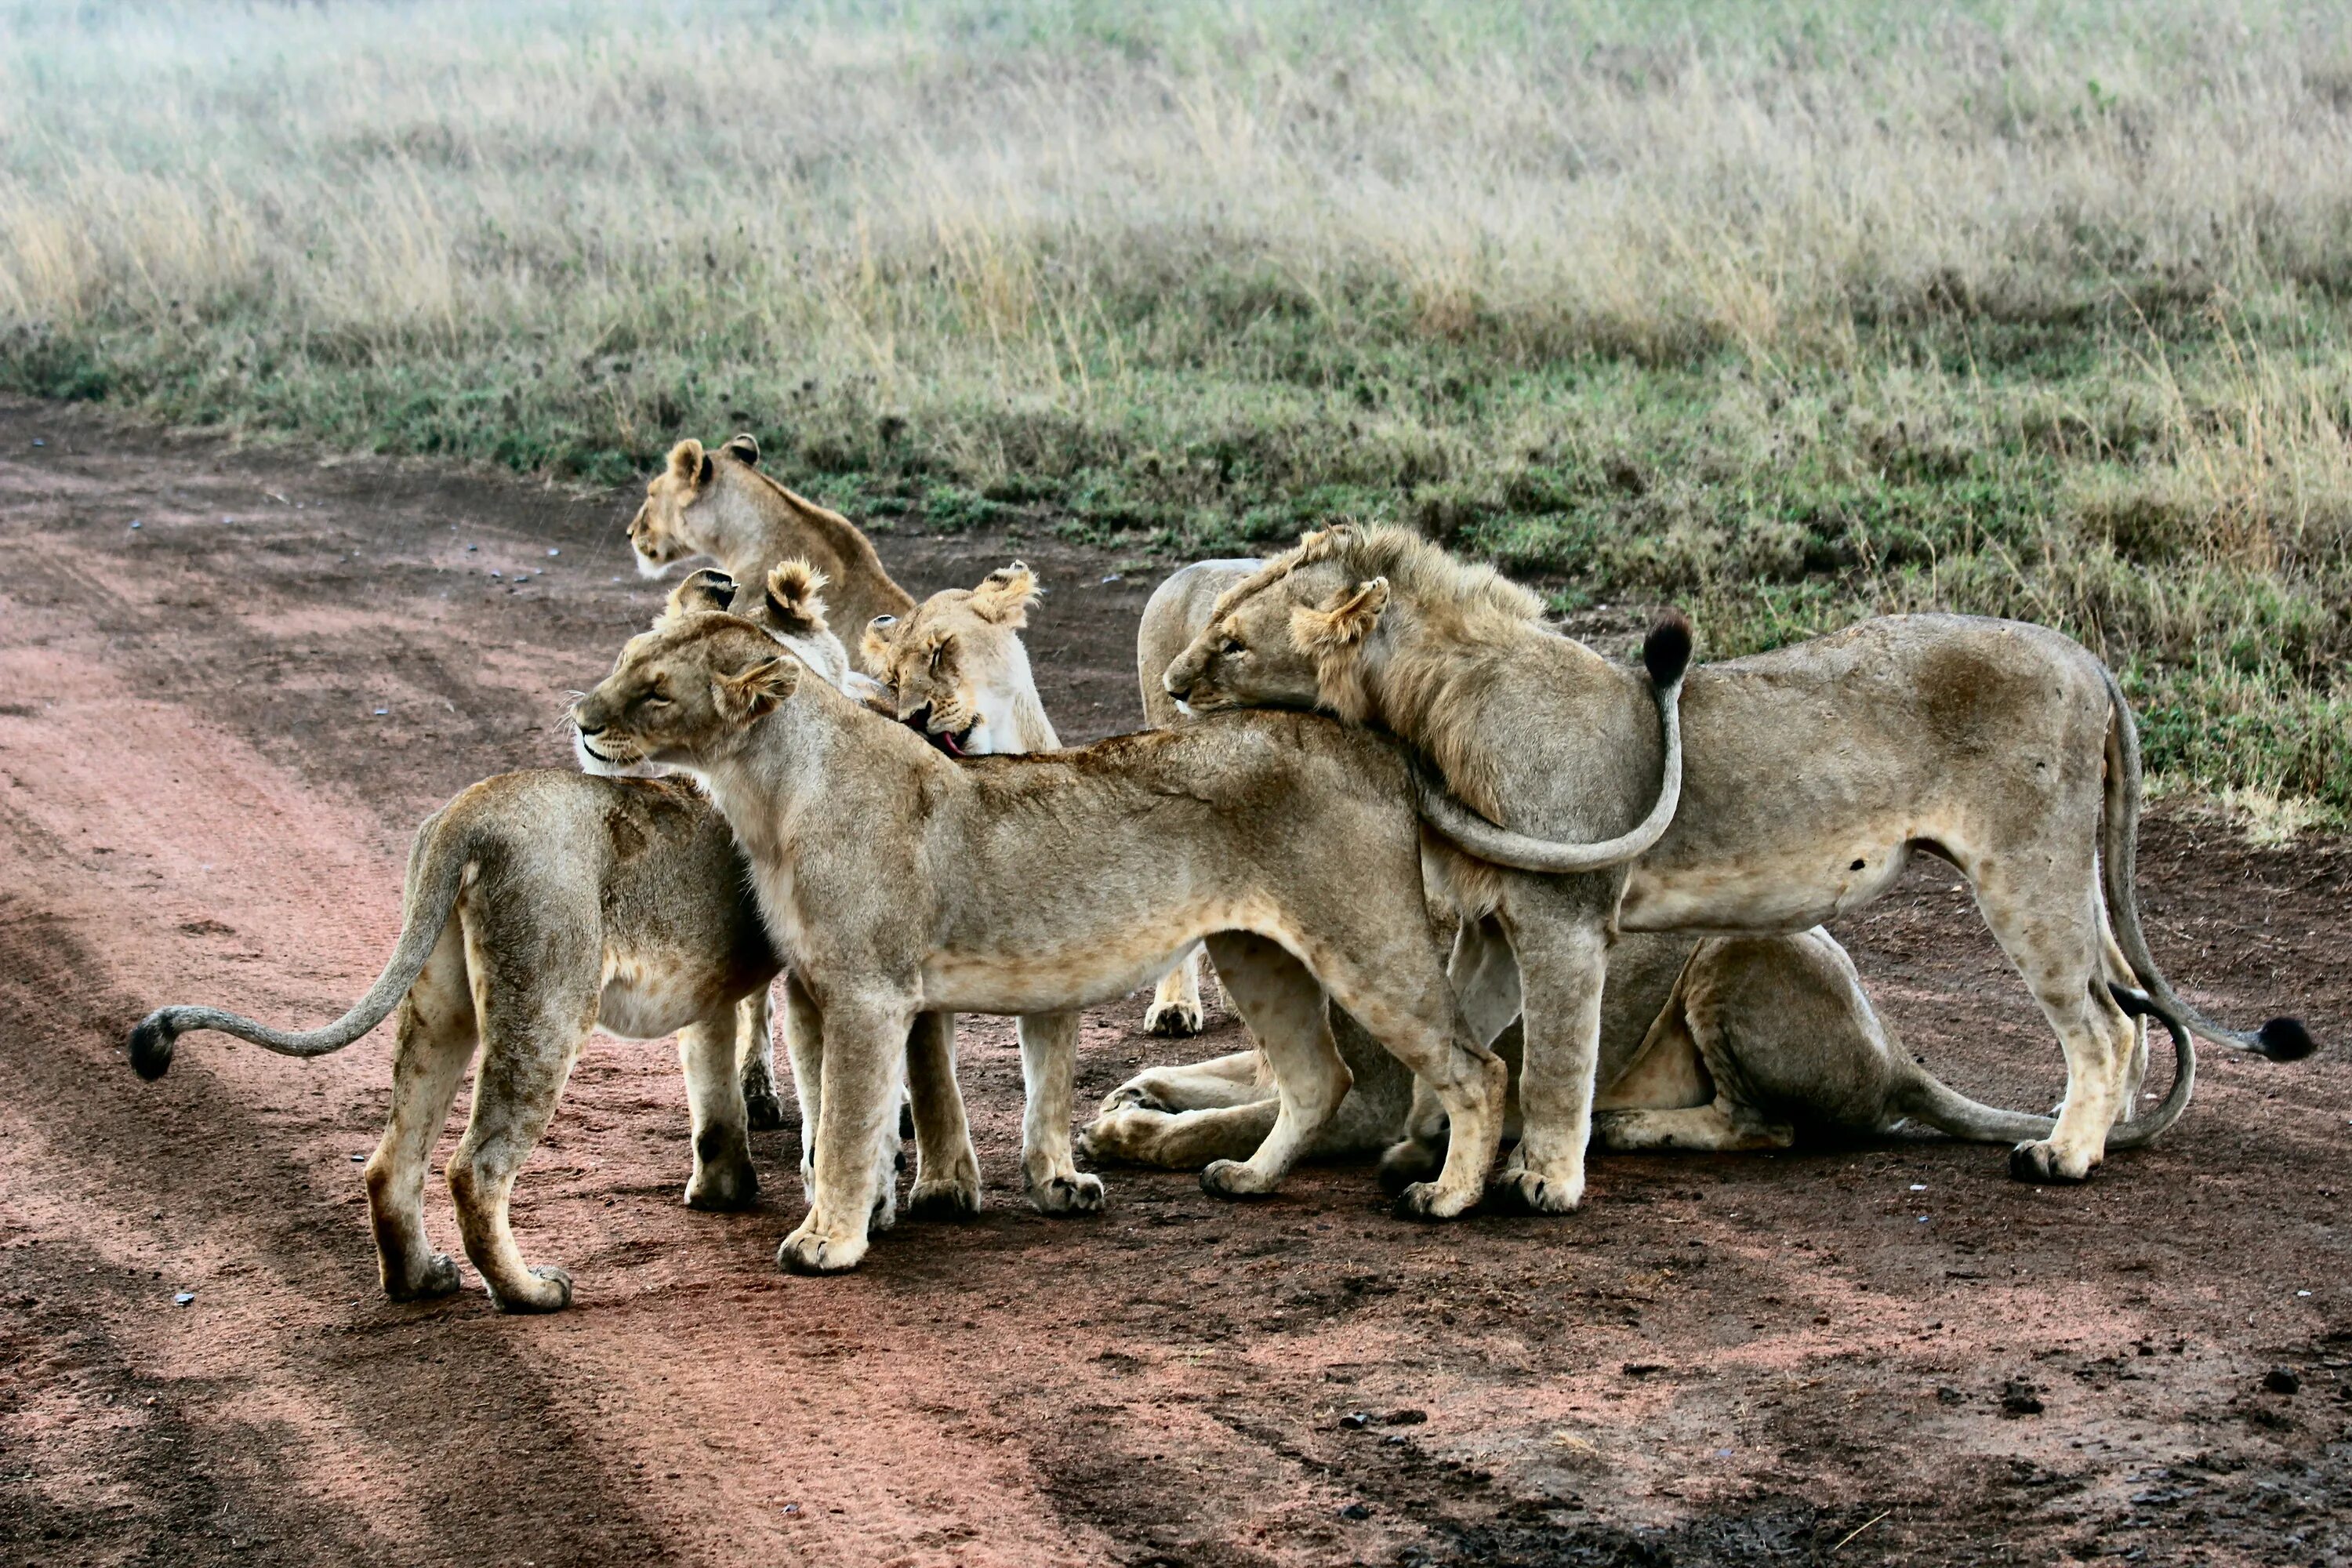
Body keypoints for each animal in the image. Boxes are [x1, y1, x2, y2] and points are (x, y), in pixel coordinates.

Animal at [579, 606, 1515, 1269]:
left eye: (656, 690)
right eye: (624, 663)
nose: (581, 717)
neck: (767, 789)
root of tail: (1373, 744)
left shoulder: (867, 991)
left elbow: (847, 1122)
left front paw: (829, 1241)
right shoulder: (815, 990)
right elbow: (843, 1116)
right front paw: (870, 1209)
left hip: (1366, 939)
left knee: (1476, 1067)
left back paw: (1449, 1197)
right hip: (1261, 953)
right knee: (1320, 1078)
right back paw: (1249, 1178)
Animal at [1167, 531, 2305, 1213]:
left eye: (1230, 644)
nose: (1173, 684)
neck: (1425, 708)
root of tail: (2084, 656)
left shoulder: (1565, 916)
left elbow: (1555, 1059)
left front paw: (1541, 1181)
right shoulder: (1496, 921)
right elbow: (1472, 1041)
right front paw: (1436, 1152)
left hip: (2026, 870)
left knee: (2103, 1022)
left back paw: (2067, 1156)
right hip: (2065, 873)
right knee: (2129, 1012)